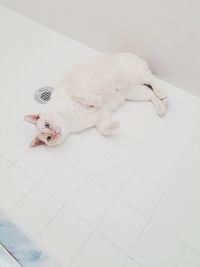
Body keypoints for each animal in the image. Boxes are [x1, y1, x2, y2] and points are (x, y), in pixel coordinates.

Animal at [25, 52, 169, 149]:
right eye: (48, 138)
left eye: (47, 125)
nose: (55, 133)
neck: (67, 119)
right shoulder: (101, 117)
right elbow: (104, 129)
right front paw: (115, 125)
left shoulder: (75, 90)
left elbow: (88, 98)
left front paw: (98, 101)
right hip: (133, 93)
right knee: (150, 94)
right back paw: (162, 106)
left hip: (133, 75)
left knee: (151, 78)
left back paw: (162, 93)